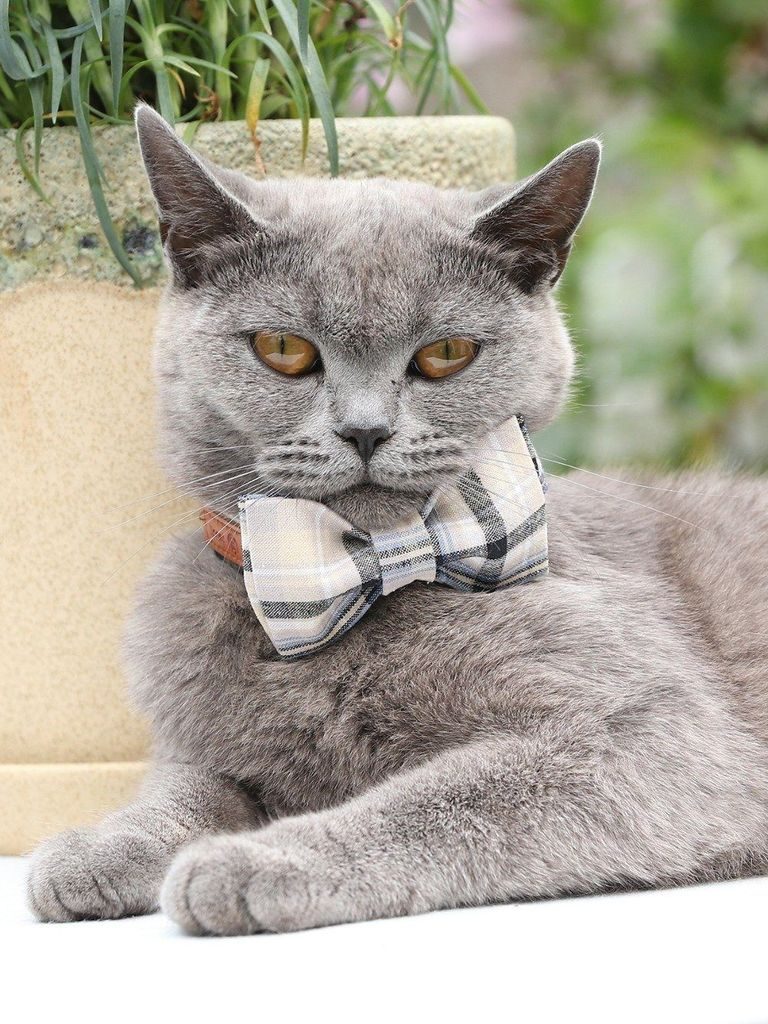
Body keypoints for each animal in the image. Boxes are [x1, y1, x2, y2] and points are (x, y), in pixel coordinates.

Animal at [25, 108, 768, 933]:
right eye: (283, 349)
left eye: (447, 353)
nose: (365, 429)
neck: (358, 571)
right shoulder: (203, 735)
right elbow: (186, 783)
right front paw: (98, 847)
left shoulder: (650, 734)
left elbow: (443, 799)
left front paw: (255, 862)